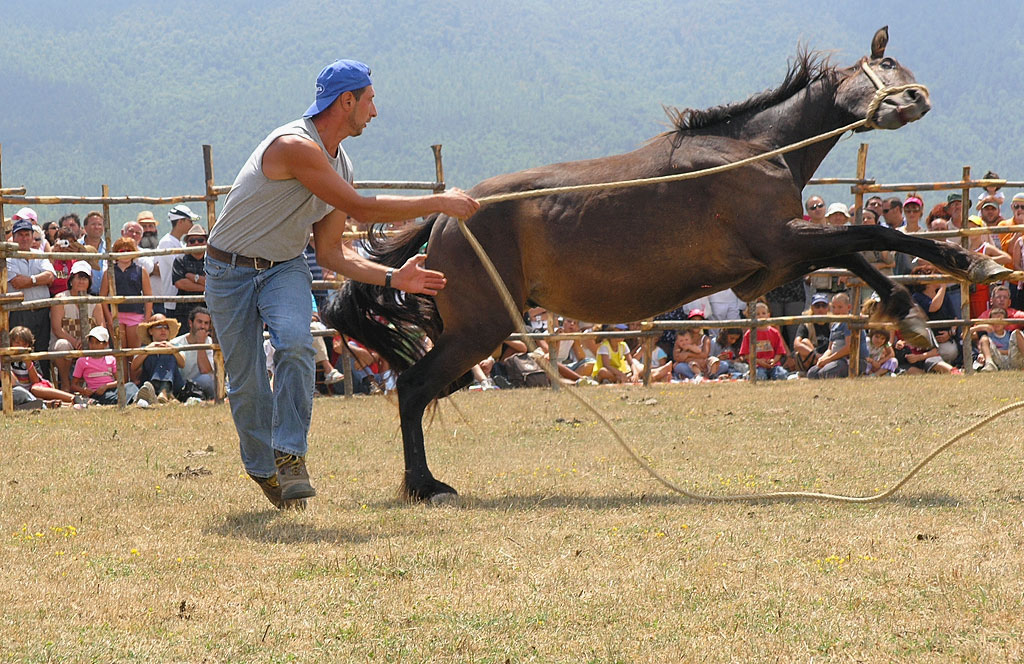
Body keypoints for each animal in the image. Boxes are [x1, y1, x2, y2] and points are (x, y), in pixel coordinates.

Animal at [325, 28, 1007, 500]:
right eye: (886, 64)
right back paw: (425, 485)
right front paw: (956, 272)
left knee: (423, 386)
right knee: (413, 387)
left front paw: (915, 305)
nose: (917, 98)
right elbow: (869, 233)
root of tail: (446, 215)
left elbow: (856, 252)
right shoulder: (783, 243)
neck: (751, 150)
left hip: (476, 330)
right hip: (481, 328)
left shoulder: (768, 269)